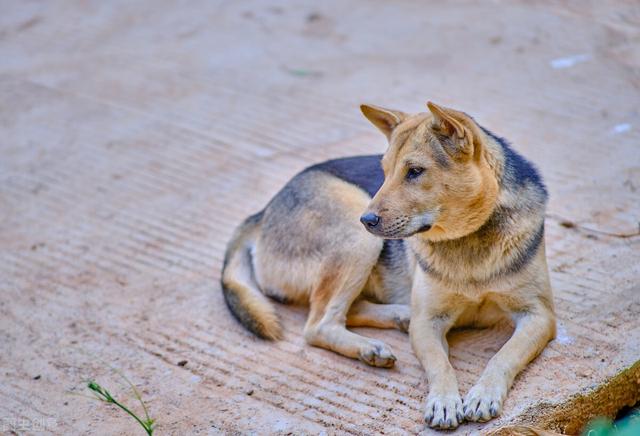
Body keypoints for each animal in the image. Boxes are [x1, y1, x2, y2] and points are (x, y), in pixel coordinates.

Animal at [221, 99, 556, 430]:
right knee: (318, 325)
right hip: (357, 233)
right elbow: (441, 365)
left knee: (346, 311)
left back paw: (396, 318)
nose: (368, 220)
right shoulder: (427, 323)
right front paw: (444, 401)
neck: (467, 239)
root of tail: (262, 212)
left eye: (415, 171)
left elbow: (504, 355)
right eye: (384, 171)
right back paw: (370, 347)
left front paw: (483, 393)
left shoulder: (539, 316)